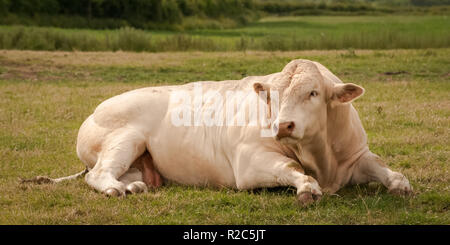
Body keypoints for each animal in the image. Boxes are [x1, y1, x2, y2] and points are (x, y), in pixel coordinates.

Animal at [37, 58, 412, 205]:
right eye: (272, 96)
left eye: (314, 93)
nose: (283, 125)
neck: (323, 158)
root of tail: (95, 111)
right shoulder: (250, 161)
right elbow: (291, 169)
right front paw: (307, 187)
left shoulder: (356, 155)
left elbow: (383, 167)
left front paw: (401, 184)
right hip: (123, 140)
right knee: (98, 174)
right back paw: (115, 189)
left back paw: (135, 186)